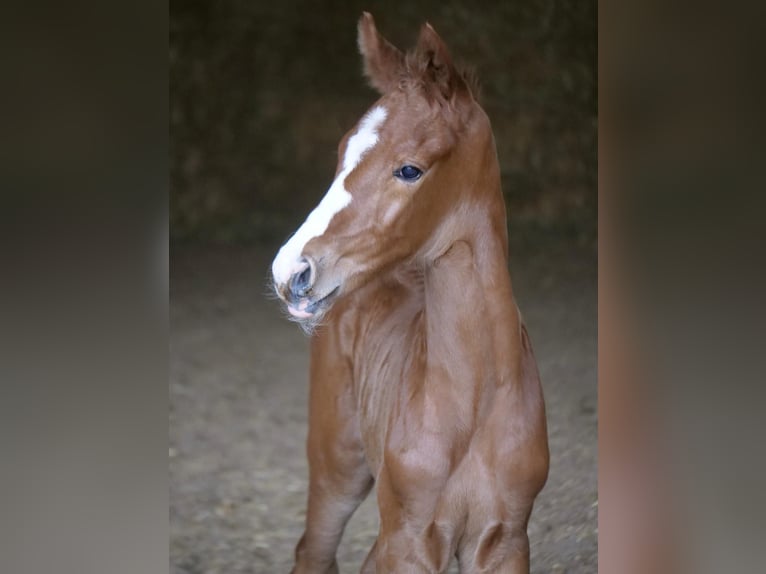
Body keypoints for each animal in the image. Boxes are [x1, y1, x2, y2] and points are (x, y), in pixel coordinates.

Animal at [272, 13, 548, 574]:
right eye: (341, 154)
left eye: (409, 169)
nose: (292, 271)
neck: (476, 406)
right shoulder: (408, 539)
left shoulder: (506, 540)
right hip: (337, 463)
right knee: (314, 549)